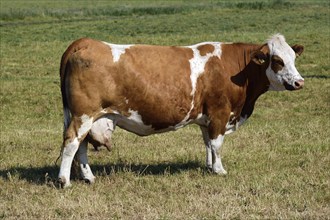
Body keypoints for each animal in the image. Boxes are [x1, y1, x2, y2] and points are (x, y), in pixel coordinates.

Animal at [56, 34, 304, 187]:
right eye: (278, 60)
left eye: (293, 58)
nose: (299, 82)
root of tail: (85, 42)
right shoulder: (220, 112)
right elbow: (217, 144)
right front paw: (220, 170)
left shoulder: (207, 118)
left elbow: (208, 143)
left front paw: (209, 166)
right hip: (83, 115)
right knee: (72, 142)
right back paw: (64, 181)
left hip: (86, 116)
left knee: (81, 145)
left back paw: (88, 177)